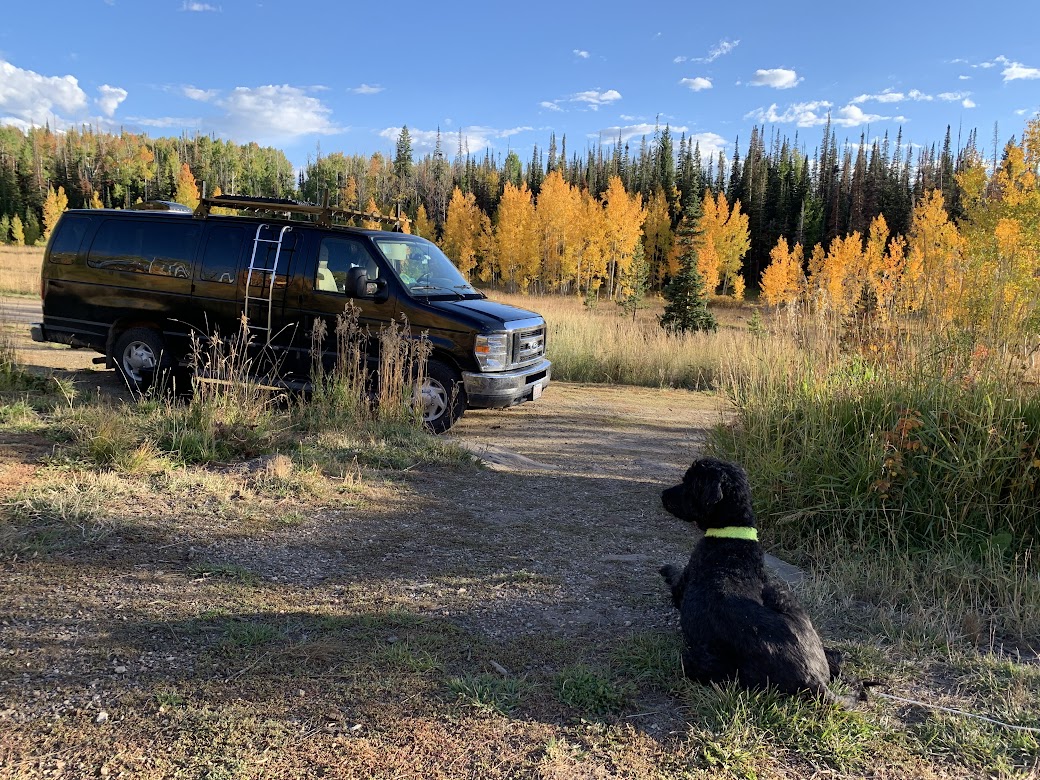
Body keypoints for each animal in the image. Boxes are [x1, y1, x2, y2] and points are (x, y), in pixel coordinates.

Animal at [665, 457, 844, 703]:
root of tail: (815, 682)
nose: (663, 494)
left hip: (701, 660)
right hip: (782, 595)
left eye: (689, 482)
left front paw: (666, 568)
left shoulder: (683, 584)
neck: (733, 536)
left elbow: (674, 578)